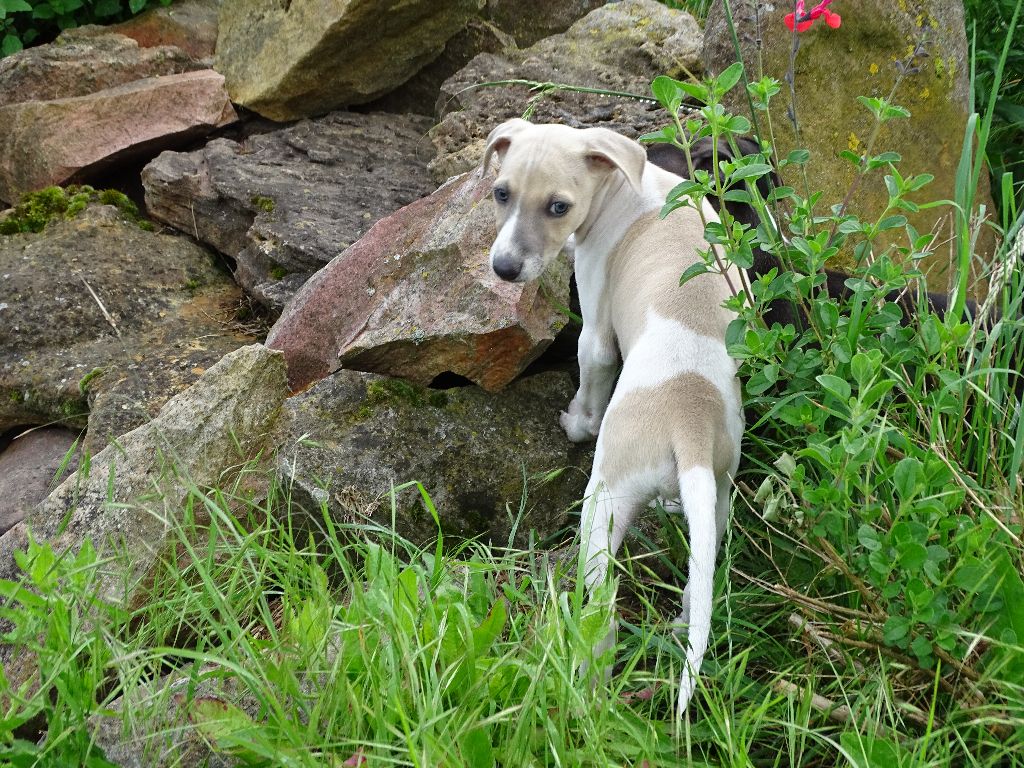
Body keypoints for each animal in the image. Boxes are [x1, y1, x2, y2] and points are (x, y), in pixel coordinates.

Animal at [481, 118, 745, 716]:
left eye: (558, 207)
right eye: (501, 193)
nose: (504, 269)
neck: (629, 185)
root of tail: (688, 421)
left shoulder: (595, 315)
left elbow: (591, 368)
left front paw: (575, 424)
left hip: (603, 504)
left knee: (602, 615)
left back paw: (587, 689)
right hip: (716, 500)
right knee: (698, 582)